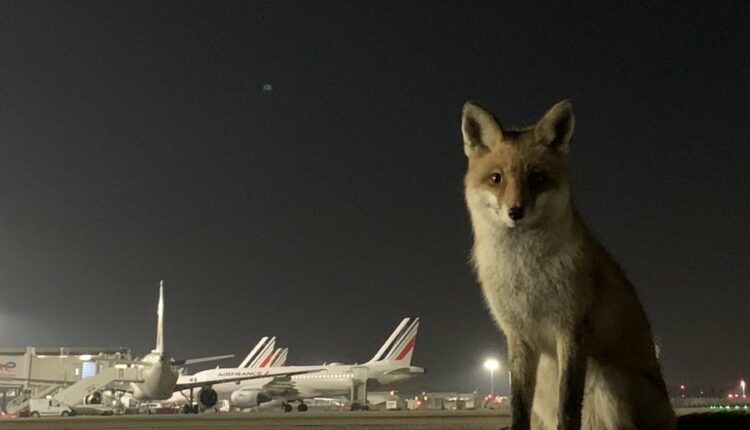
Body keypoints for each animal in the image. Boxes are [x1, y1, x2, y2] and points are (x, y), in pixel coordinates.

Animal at [462, 99, 680, 428]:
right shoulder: (518, 335)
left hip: (608, 378)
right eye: (496, 178)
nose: (516, 211)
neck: (525, 273)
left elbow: (568, 404)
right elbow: (518, 405)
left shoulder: (572, 328)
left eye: (537, 177)